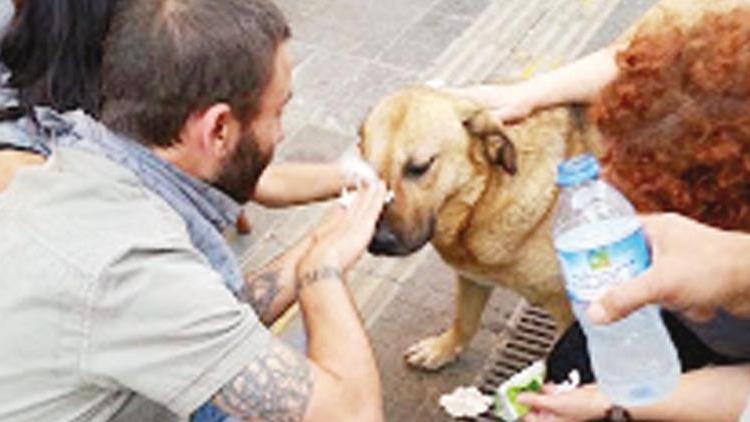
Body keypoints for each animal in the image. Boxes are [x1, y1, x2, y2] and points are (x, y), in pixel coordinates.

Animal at [362, 88, 596, 370]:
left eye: (420, 167)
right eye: (369, 176)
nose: (379, 241)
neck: (485, 197)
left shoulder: (569, 314)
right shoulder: (472, 276)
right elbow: (464, 320)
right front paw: (442, 349)